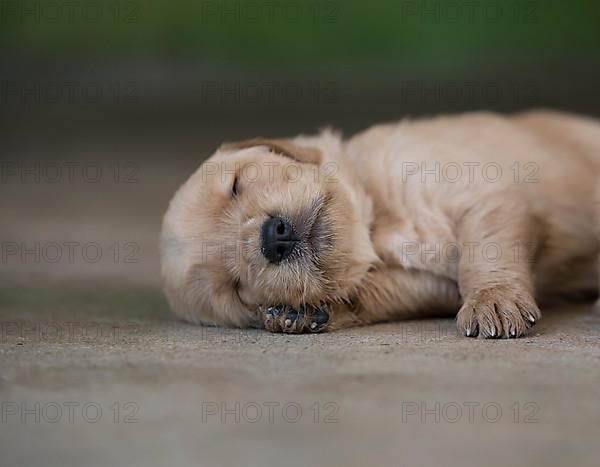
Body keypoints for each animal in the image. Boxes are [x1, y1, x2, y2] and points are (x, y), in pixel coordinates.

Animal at [159, 111, 600, 338]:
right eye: (233, 287)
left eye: (236, 185)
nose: (274, 239)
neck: (374, 225)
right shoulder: (430, 284)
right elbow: (380, 291)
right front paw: (299, 312)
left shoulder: (484, 193)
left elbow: (486, 251)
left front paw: (493, 301)